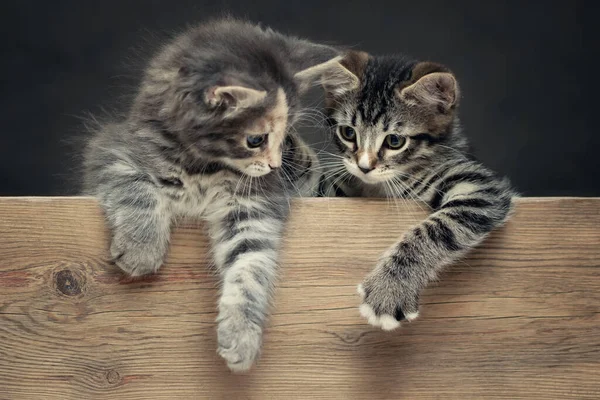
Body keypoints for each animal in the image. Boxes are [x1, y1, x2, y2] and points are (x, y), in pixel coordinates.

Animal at [82, 18, 340, 368]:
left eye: (285, 135)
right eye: (256, 140)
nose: (275, 166)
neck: (206, 168)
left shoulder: (252, 208)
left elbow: (250, 266)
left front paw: (241, 335)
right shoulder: (112, 149)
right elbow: (137, 189)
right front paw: (141, 249)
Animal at [300, 51, 516, 330]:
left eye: (394, 141)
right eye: (348, 132)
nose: (364, 167)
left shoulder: (478, 185)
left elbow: (440, 227)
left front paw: (390, 288)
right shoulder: (332, 190)